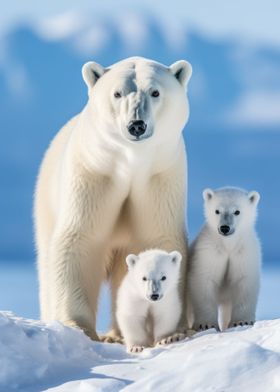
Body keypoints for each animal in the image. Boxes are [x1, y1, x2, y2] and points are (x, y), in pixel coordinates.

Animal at [34, 56, 192, 342]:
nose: (136, 125)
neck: (132, 162)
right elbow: (80, 238)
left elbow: (156, 238)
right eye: (117, 93)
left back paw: (116, 334)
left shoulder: (160, 178)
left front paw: (173, 333)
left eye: (155, 92)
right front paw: (78, 327)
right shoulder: (94, 175)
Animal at [187, 186, 262, 330]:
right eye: (217, 211)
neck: (228, 245)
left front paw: (241, 322)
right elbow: (204, 280)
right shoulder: (210, 252)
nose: (225, 228)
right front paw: (206, 324)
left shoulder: (243, 252)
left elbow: (244, 281)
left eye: (237, 211)